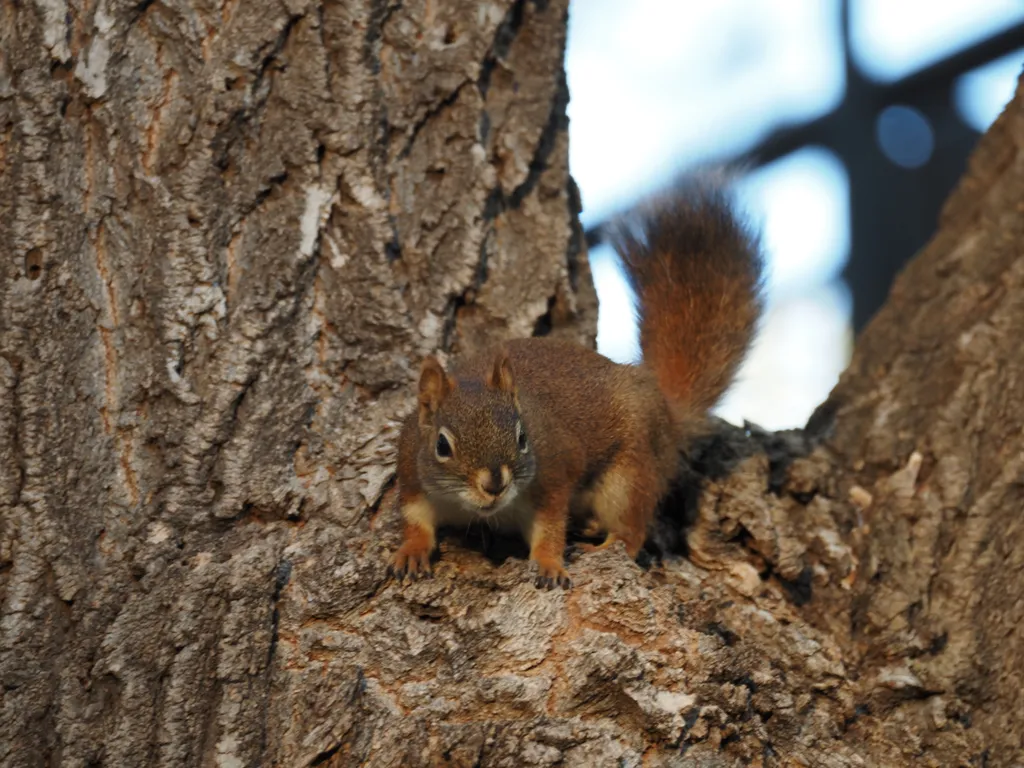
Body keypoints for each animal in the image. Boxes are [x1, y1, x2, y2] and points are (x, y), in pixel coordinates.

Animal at [387, 179, 765, 589]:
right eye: (442, 445)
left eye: (523, 438)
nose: (494, 483)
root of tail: (668, 417)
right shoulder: (410, 470)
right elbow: (414, 519)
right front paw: (410, 551)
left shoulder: (556, 470)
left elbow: (551, 525)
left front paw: (550, 563)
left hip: (630, 472)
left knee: (632, 526)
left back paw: (608, 544)